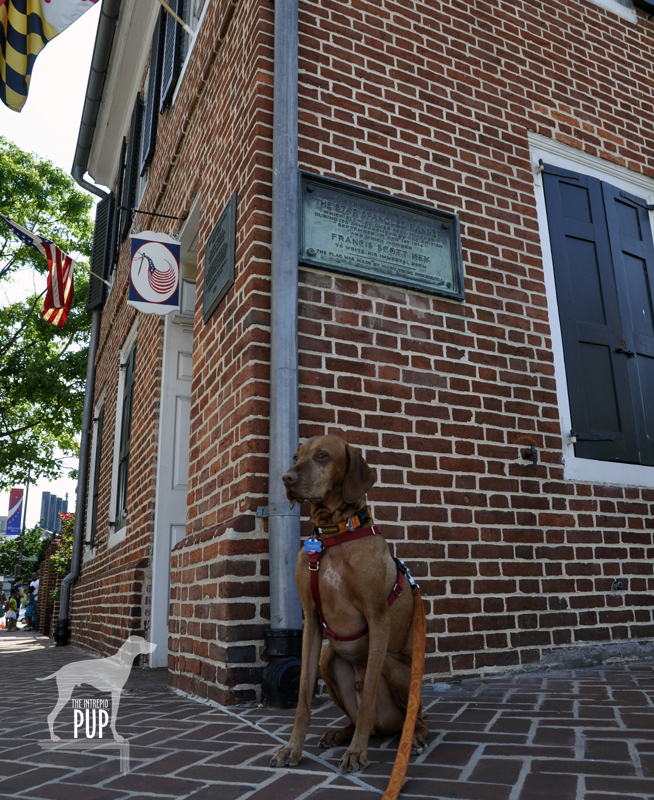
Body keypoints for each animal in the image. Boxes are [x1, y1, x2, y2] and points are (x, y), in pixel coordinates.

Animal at [270, 434, 428, 772]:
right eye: (295, 456)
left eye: (322, 456)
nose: (286, 478)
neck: (332, 536)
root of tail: (387, 726)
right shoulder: (311, 621)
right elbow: (302, 696)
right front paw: (292, 748)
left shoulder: (378, 618)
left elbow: (367, 696)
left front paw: (357, 752)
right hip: (328, 658)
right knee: (359, 719)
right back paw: (340, 732)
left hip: (395, 668)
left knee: (414, 716)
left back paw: (414, 737)